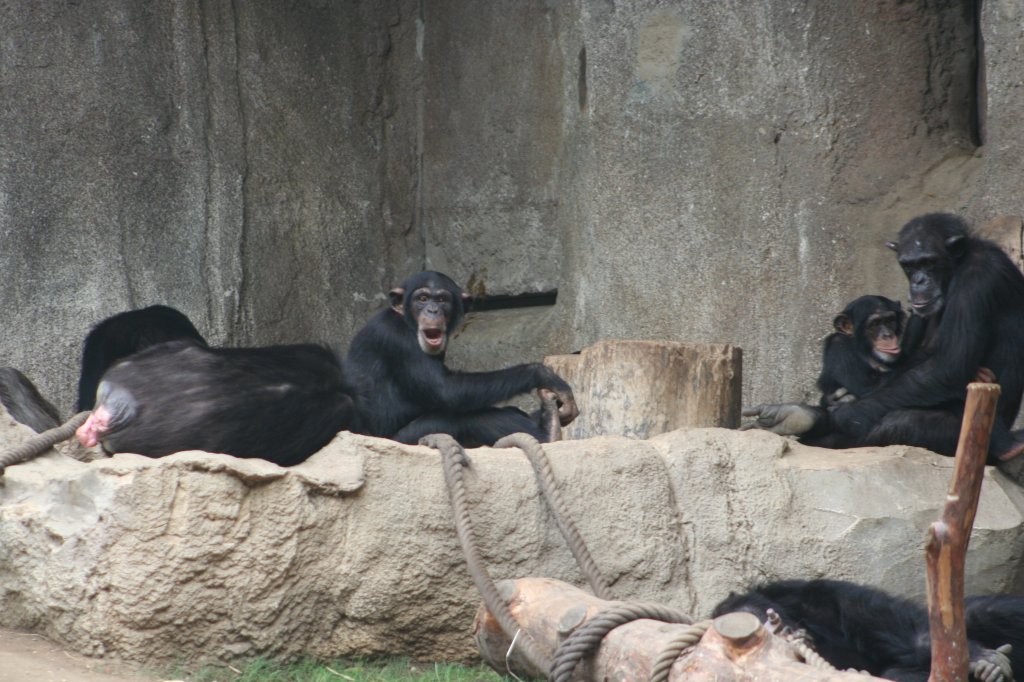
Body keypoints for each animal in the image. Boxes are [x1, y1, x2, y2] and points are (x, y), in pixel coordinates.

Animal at [346, 270, 581, 446]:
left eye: (442, 299)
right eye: (422, 298)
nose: (433, 310)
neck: (405, 320)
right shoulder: (396, 337)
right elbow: (445, 389)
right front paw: (544, 375)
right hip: (408, 439)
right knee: (465, 417)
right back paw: (549, 431)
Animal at [712, 577, 1024, 679]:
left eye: (753, 618)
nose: (775, 630)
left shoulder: (815, 595)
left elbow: (881, 619)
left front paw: (977, 658)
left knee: (985, 611)